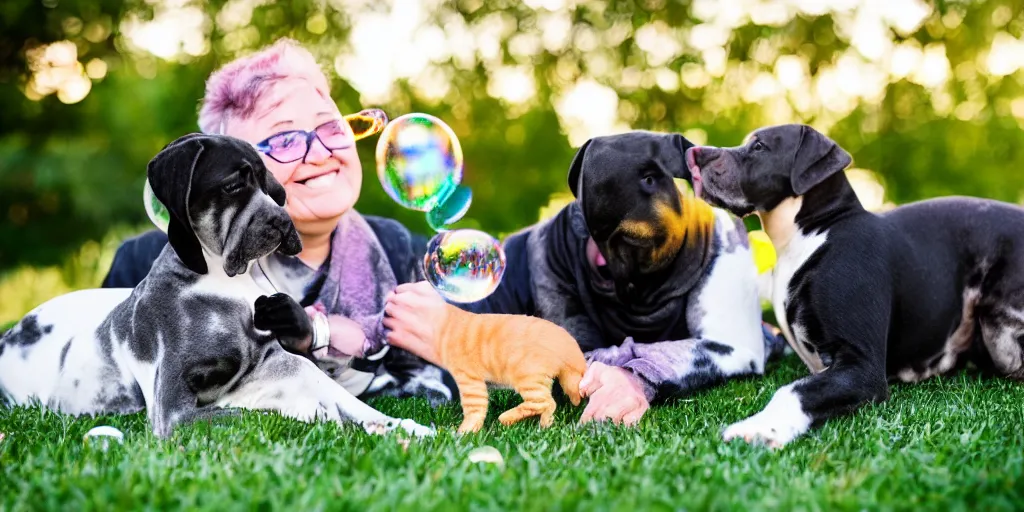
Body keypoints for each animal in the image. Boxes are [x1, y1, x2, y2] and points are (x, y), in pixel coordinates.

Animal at [0, 134, 432, 438]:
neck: (225, 281)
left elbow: (332, 398)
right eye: (232, 186)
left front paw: (387, 423)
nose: (282, 221)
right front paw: (318, 415)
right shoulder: (174, 410)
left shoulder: (278, 364)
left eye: (275, 190)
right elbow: (246, 415)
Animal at [436, 303, 589, 432]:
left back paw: (508, 418)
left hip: (528, 378)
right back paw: (545, 425)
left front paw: (463, 434)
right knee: (550, 405)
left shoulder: (469, 380)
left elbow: (474, 410)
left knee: (546, 402)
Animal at [684, 124, 1024, 448]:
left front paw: (758, 429)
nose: (694, 153)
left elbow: (793, 390)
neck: (816, 230)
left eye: (758, 146)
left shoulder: (862, 366)